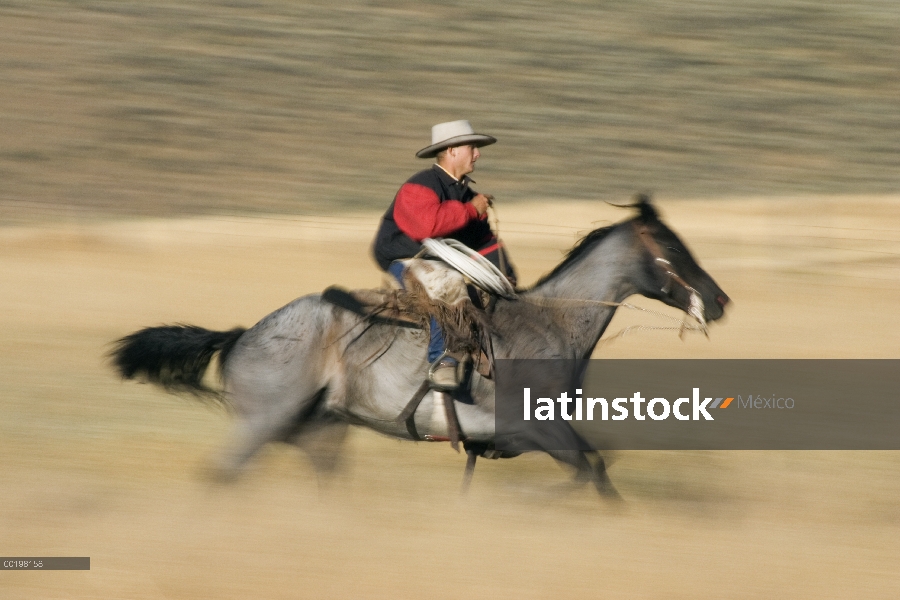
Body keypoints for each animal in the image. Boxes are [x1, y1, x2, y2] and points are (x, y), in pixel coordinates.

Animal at [114, 199, 732, 500]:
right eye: (673, 246)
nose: (720, 300)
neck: (548, 326)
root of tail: (242, 334)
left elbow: (600, 471)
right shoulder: (537, 432)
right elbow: (590, 473)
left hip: (321, 434)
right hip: (261, 425)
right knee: (221, 478)